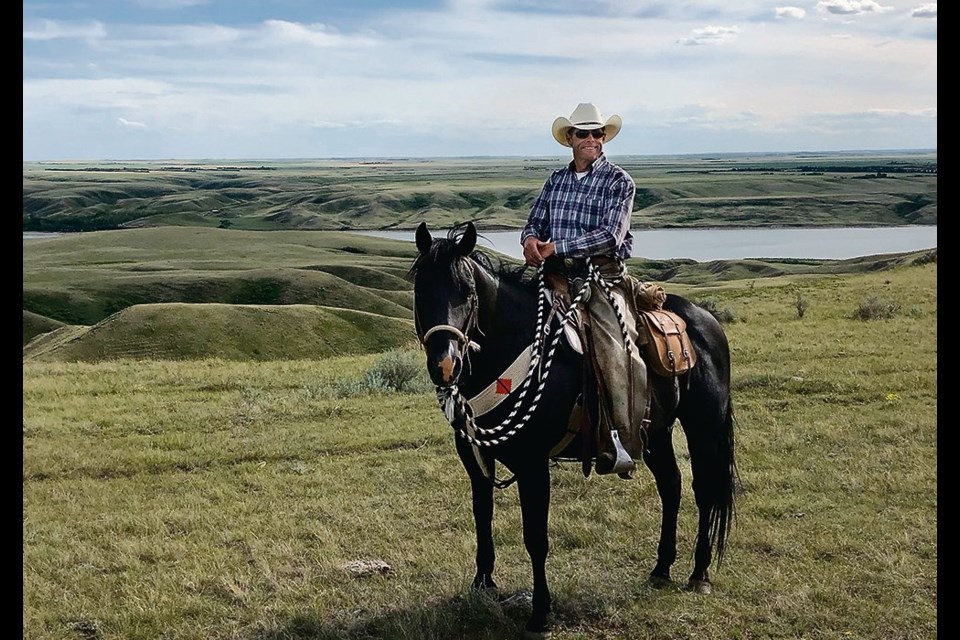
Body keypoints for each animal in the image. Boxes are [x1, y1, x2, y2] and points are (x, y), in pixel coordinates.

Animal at [406, 221, 736, 636]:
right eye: (421, 289)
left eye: (467, 291)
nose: (446, 365)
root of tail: (705, 318)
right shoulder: (473, 455)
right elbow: (482, 515)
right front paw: (482, 584)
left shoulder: (533, 463)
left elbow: (535, 536)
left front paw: (540, 613)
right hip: (656, 431)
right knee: (671, 486)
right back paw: (661, 568)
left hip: (704, 427)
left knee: (705, 490)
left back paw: (699, 573)